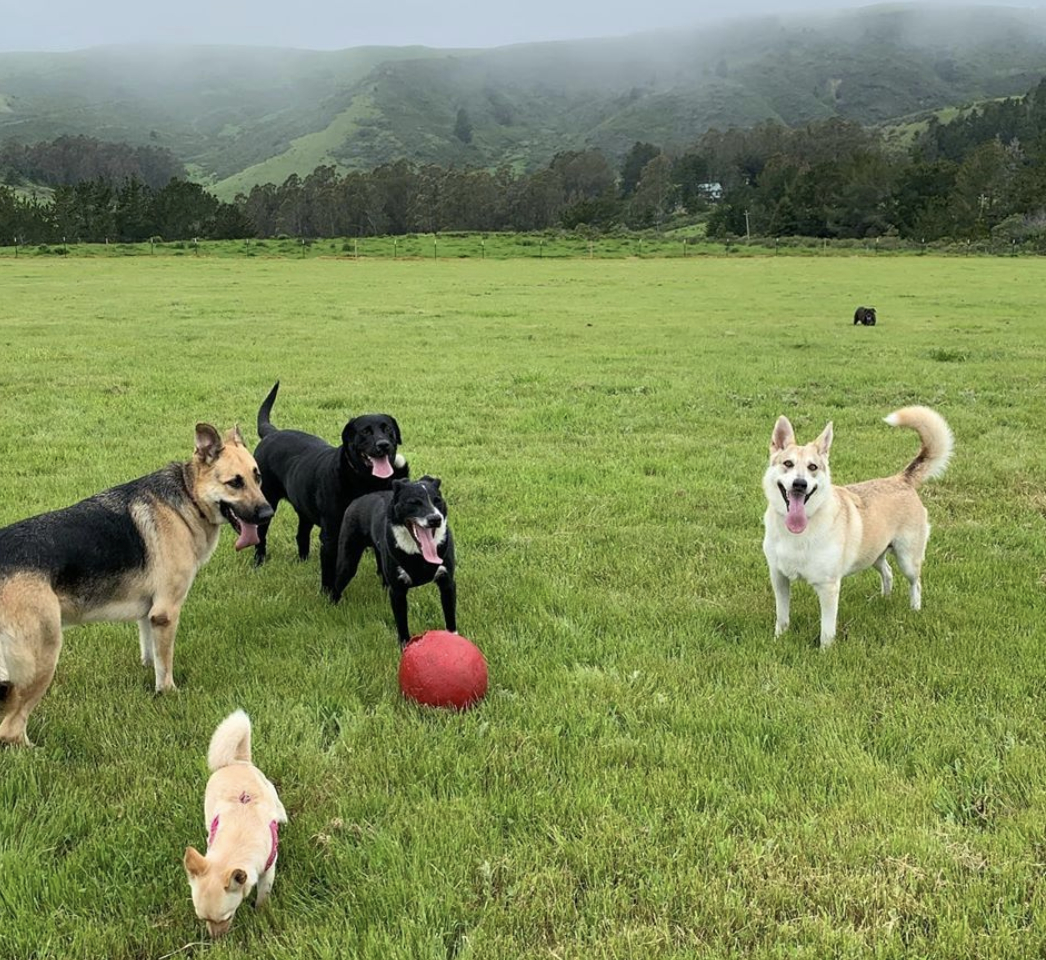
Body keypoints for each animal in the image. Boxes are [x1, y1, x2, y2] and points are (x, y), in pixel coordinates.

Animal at [0, 424, 274, 748]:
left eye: (258, 477)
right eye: (235, 483)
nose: (268, 514)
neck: (188, 498)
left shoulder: (149, 615)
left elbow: (151, 654)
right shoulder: (166, 613)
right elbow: (165, 665)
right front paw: (167, 694)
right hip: (43, 658)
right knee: (10, 728)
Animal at [184, 715, 288, 941]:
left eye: (227, 916)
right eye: (202, 919)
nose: (216, 939)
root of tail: (236, 761)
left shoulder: (268, 870)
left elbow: (263, 895)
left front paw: (260, 913)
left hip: (271, 792)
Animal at [253, 380, 407, 593]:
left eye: (388, 429)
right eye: (365, 431)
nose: (383, 444)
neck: (364, 482)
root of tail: (272, 433)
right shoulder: (331, 534)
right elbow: (330, 568)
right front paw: (327, 594)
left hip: (304, 507)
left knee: (301, 535)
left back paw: (303, 560)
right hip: (266, 500)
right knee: (260, 535)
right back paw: (258, 562)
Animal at [330, 474, 453, 648]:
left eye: (437, 500)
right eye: (414, 502)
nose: (435, 519)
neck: (418, 554)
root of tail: (360, 498)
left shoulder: (447, 582)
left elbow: (451, 618)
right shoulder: (398, 591)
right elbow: (401, 623)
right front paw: (404, 646)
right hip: (348, 561)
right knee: (337, 584)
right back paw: (331, 606)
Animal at [765, 409, 953, 648]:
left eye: (812, 467)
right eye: (788, 463)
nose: (800, 484)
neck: (799, 531)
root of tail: (901, 479)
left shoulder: (828, 587)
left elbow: (827, 629)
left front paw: (825, 652)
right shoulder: (778, 577)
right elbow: (782, 616)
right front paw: (778, 639)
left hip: (908, 559)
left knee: (915, 584)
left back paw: (915, 609)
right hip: (873, 554)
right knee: (888, 572)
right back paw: (884, 599)